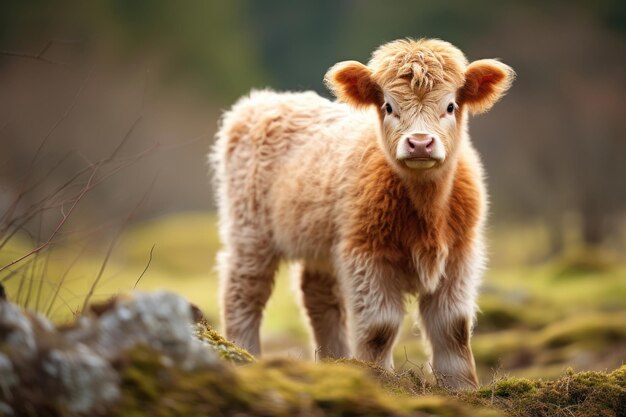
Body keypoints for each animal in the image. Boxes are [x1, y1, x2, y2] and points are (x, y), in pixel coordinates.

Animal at [210, 37, 512, 388]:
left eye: (450, 106)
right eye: (388, 106)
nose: (420, 143)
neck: (427, 212)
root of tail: (263, 100)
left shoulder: (460, 254)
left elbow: (453, 328)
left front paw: (462, 388)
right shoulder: (366, 254)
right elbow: (380, 327)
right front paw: (377, 378)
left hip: (320, 242)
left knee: (319, 298)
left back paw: (334, 362)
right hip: (249, 231)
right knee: (244, 291)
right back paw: (244, 354)